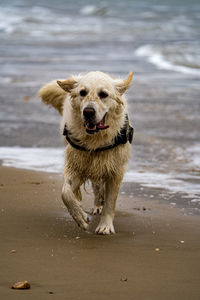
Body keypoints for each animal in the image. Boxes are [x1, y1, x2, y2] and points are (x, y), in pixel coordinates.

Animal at [38, 72, 134, 234]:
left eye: (103, 94)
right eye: (82, 92)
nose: (88, 112)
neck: (95, 140)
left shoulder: (115, 169)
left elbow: (110, 201)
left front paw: (105, 226)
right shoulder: (77, 165)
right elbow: (66, 193)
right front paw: (80, 217)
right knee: (96, 185)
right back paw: (96, 205)